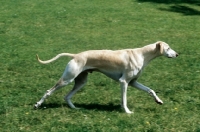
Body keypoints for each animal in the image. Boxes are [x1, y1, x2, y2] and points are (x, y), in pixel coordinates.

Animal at [34, 41, 178, 113]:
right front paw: (127, 111)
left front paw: (158, 101)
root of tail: (75, 55)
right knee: (48, 91)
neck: (142, 54)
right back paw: (37, 104)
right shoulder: (124, 82)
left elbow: (150, 90)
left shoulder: (133, 82)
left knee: (67, 96)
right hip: (67, 80)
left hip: (81, 82)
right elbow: (124, 99)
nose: (177, 54)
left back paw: (75, 108)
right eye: (168, 48)